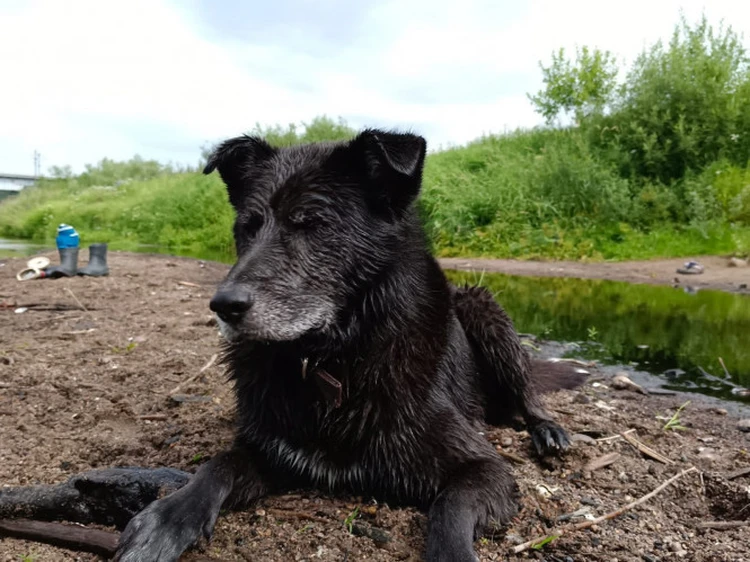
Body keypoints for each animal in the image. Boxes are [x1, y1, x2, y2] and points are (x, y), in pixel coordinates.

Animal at [117, 129, 588, 560]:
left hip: (481, 306)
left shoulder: (484, 467)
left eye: (312, 223)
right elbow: (219, 465)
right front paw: (167, 519)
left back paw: (546, 429)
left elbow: (450, 510)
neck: (332, 359)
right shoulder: (270, 452)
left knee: (527, 394)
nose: (223, 305)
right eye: (247, 228)